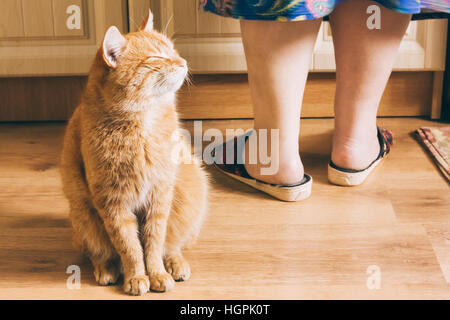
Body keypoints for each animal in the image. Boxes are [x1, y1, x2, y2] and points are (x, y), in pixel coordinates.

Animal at [59, 10, 207, 296]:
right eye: (157, 57)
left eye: (173, 50)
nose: (183, 61)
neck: (141, 128)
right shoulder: (113, 205)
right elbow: (129, 248)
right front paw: (137, 277)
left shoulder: (160, 197)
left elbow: (154, 243)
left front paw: (157, 274)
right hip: (83, 214)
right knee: (98, 251)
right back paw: (106, 269)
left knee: (172, 245)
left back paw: (175, 264)